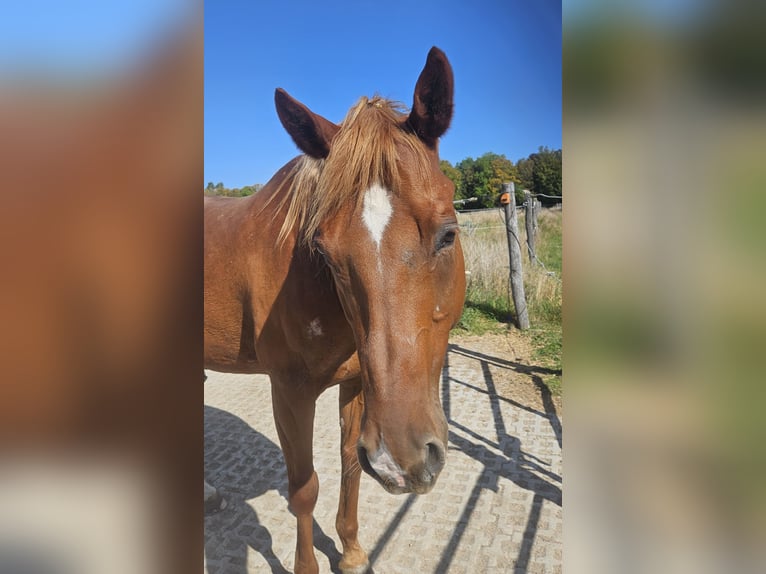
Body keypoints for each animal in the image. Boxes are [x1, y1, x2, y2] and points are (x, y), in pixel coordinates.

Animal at [204, 47, 465, 574]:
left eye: (448, 234)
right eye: (324, 252)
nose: (403, 459)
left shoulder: (359, 383)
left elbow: (350, 465)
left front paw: (351, 552)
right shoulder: (289, 392)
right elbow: (304, 489)